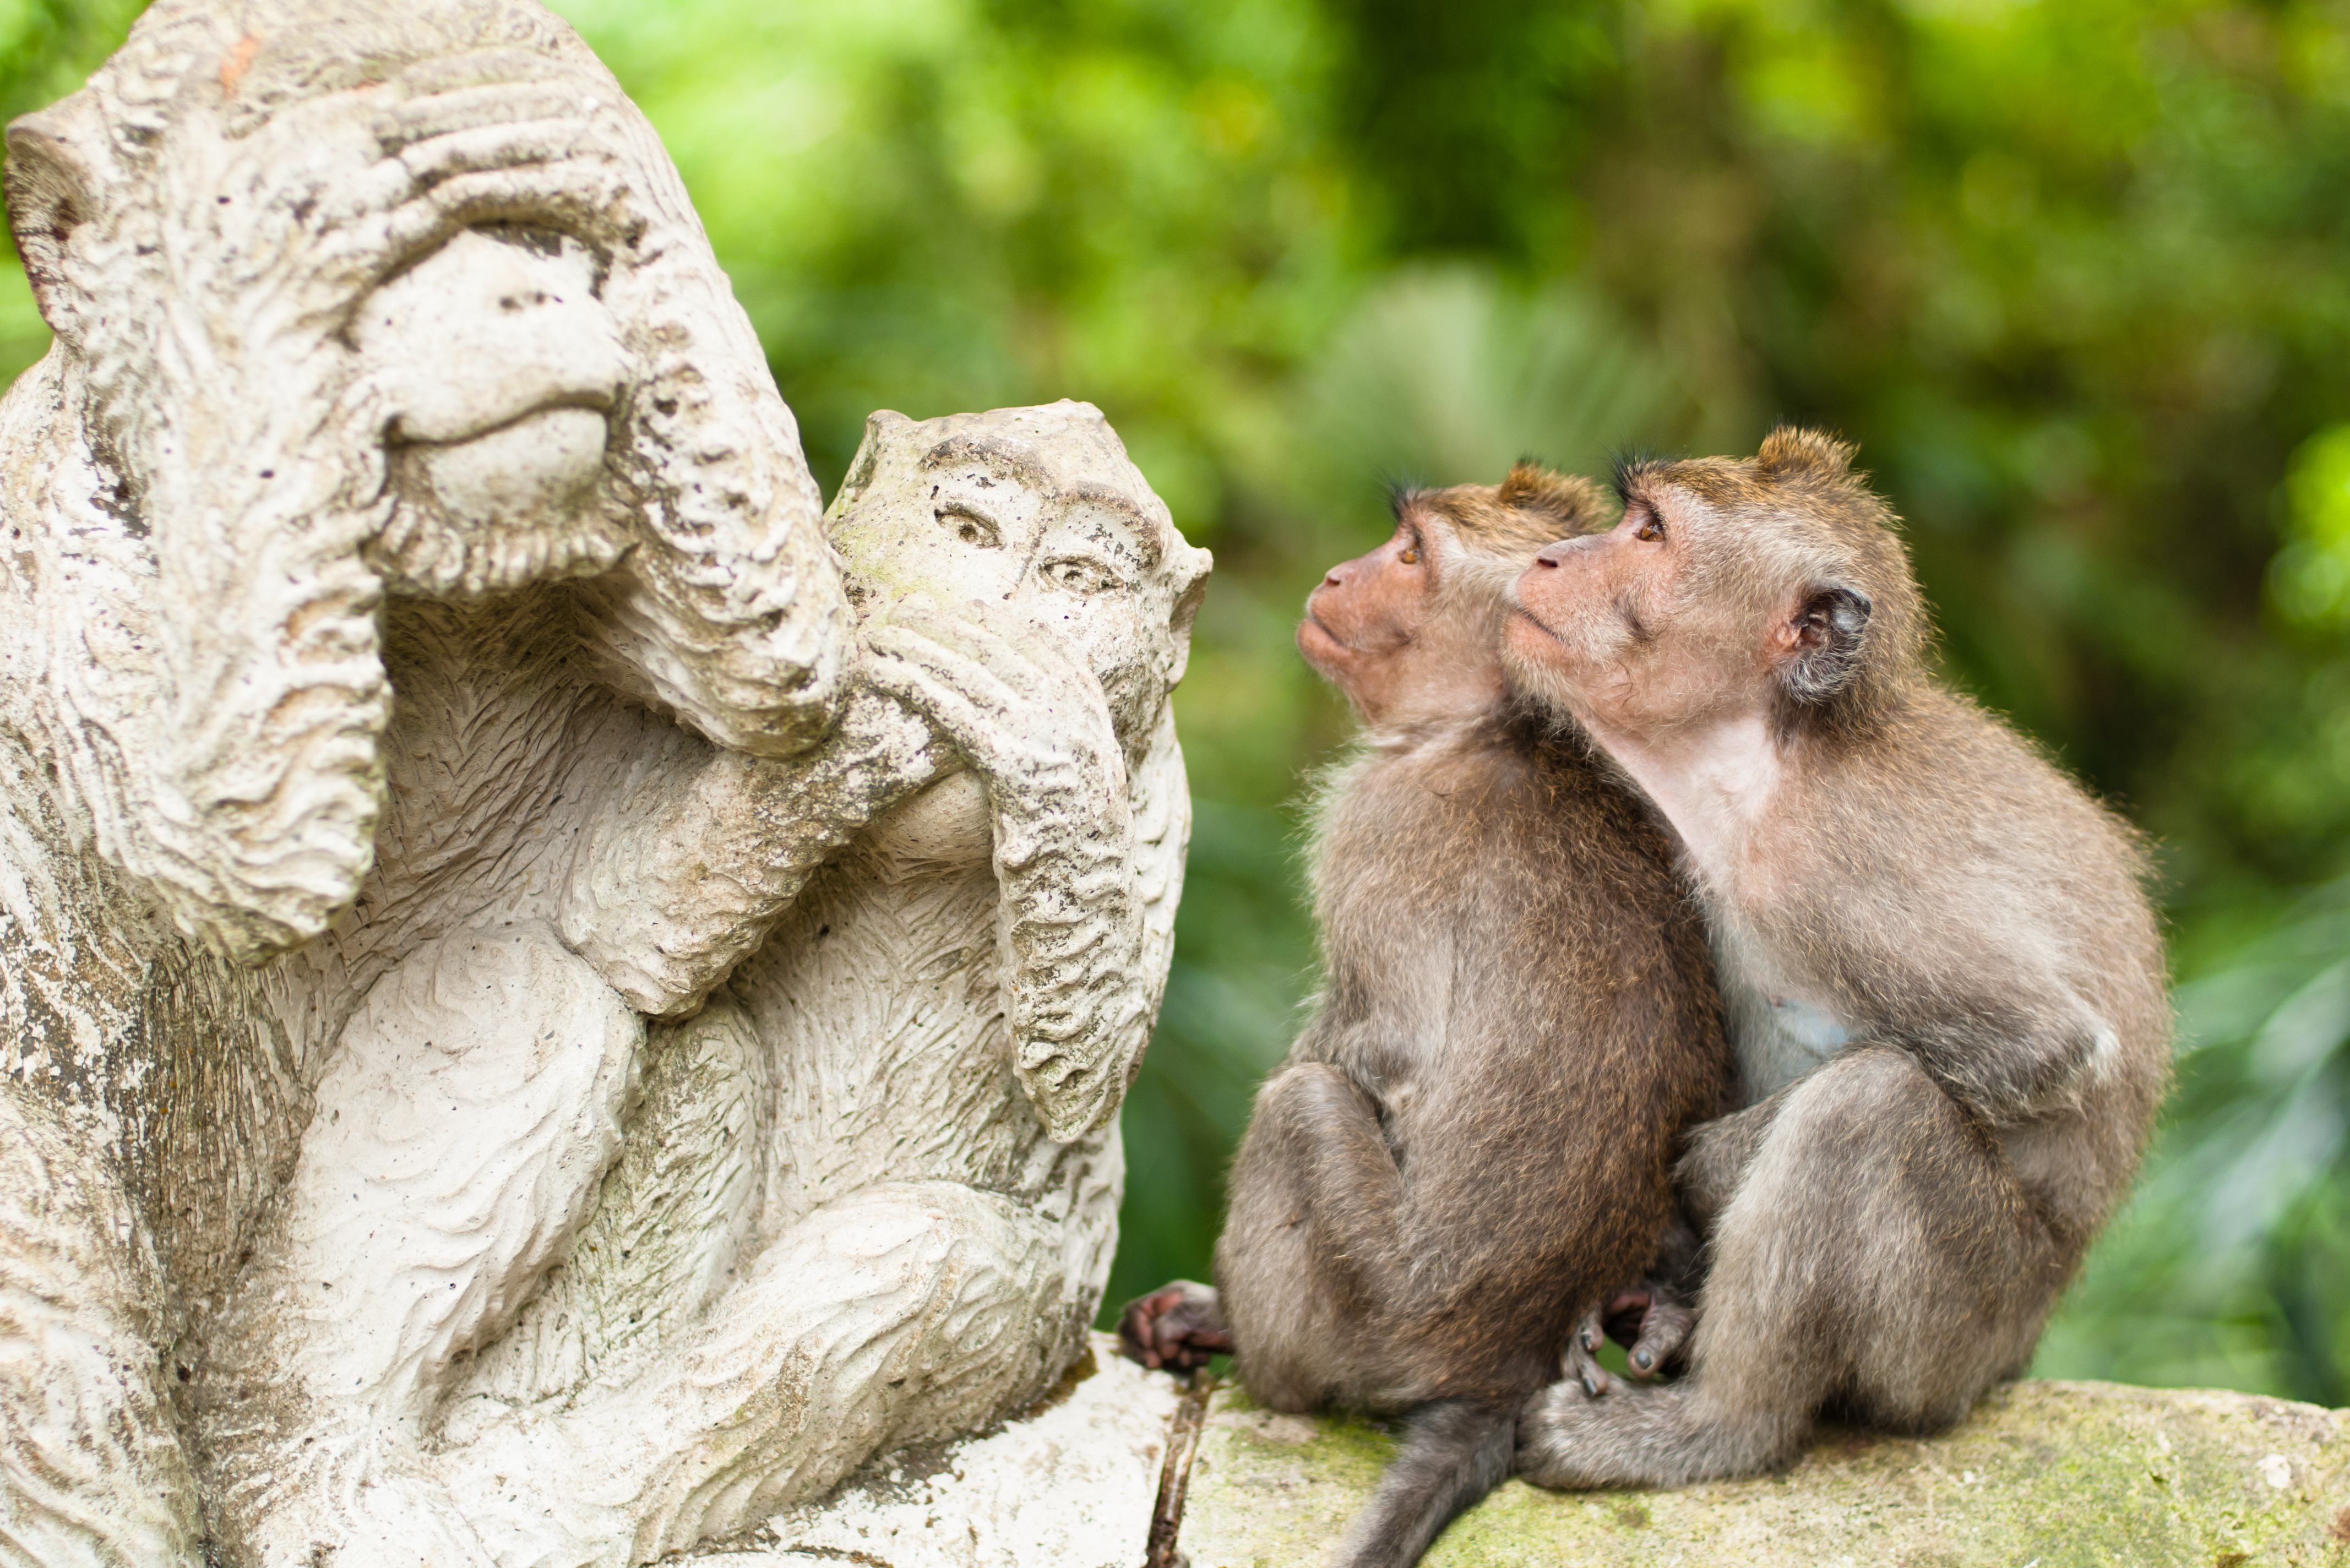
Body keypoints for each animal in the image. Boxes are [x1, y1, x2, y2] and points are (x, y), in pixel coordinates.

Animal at [1120, 465, 1730, 1568]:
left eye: (1409, 555)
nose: (1335, 574)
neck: (1493, 723)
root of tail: (1498, 1367)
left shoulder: (1378, 819)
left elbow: (1379, 1046)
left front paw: (1208, 1303)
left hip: (1373, 1311)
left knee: (1303, 1106)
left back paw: (1249, 1346)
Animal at [1503, 427, 2170, 1489]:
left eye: (1648, 533)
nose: (1551, 558)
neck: (1765, 759)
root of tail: (2017, 1350)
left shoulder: (1831, 867)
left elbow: (2045, 1044)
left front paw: (1705, 1169)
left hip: (1957, 1331)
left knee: (1867, 1111)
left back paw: (1713, 1427)